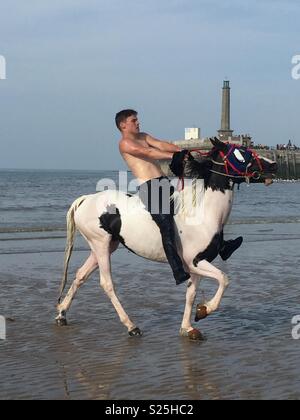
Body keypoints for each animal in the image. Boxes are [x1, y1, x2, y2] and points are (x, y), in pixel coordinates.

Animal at [55, 139, 276, 340]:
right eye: (240, 154)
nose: (273, 165)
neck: (203, 214)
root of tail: (85, 199)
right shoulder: (195, 262)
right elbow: (224, 278)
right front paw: (205, 310)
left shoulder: (196, 267)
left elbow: (191, 294)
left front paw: (188, 327)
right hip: (100, 244)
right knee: (106, 283)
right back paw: (131, 326)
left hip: (106, 246)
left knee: (80, 275)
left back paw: (62, 314)